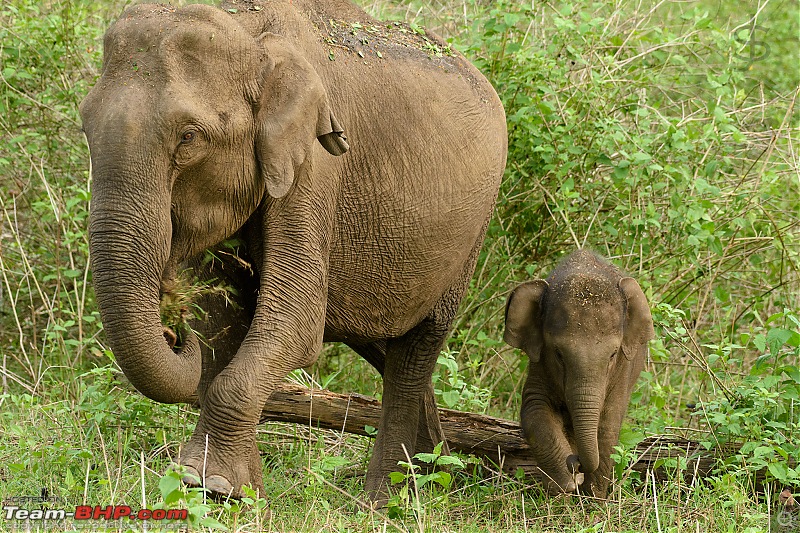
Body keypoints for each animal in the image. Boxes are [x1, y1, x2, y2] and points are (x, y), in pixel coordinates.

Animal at [81, 0, 506, 500]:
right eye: (85, 125)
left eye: (189, 136)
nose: (173, 332)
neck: (250, 31)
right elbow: (222, 322)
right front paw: (236, 493)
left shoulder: (317, 164)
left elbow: (297, 322)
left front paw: (209, 482)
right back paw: (432, 464)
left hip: (471, 234)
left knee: (417, 348)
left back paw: (382, 501)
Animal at [504, 249, 652, 494]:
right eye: (558, 354)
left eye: (613, 354)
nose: (576, 463)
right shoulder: (539, 364)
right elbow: (535, 410)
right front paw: (564, 485)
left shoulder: (623, 369)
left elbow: (608, 425)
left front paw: (593, 498)